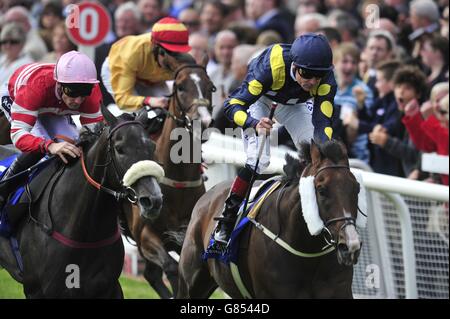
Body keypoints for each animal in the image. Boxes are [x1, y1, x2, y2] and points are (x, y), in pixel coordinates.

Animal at [121, 53, 216, 298]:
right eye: (180, 86)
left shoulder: (190, 238)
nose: (202, 122)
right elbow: (173, 268)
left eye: (211, 86)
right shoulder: (145, 235)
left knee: (150, 275)